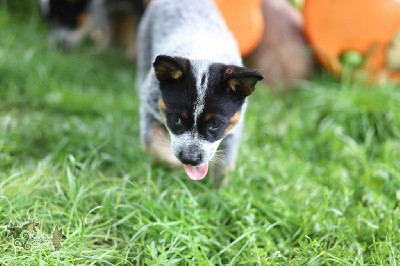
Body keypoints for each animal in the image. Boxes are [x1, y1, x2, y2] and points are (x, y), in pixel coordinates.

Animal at [136, 0, 264, 186]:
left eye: (215, 124)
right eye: (176, 119)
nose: (190, 159)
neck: (203, 55)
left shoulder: (235, 123)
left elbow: (223, 164)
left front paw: (218, 190)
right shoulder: (150, 106)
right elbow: (153, 144)